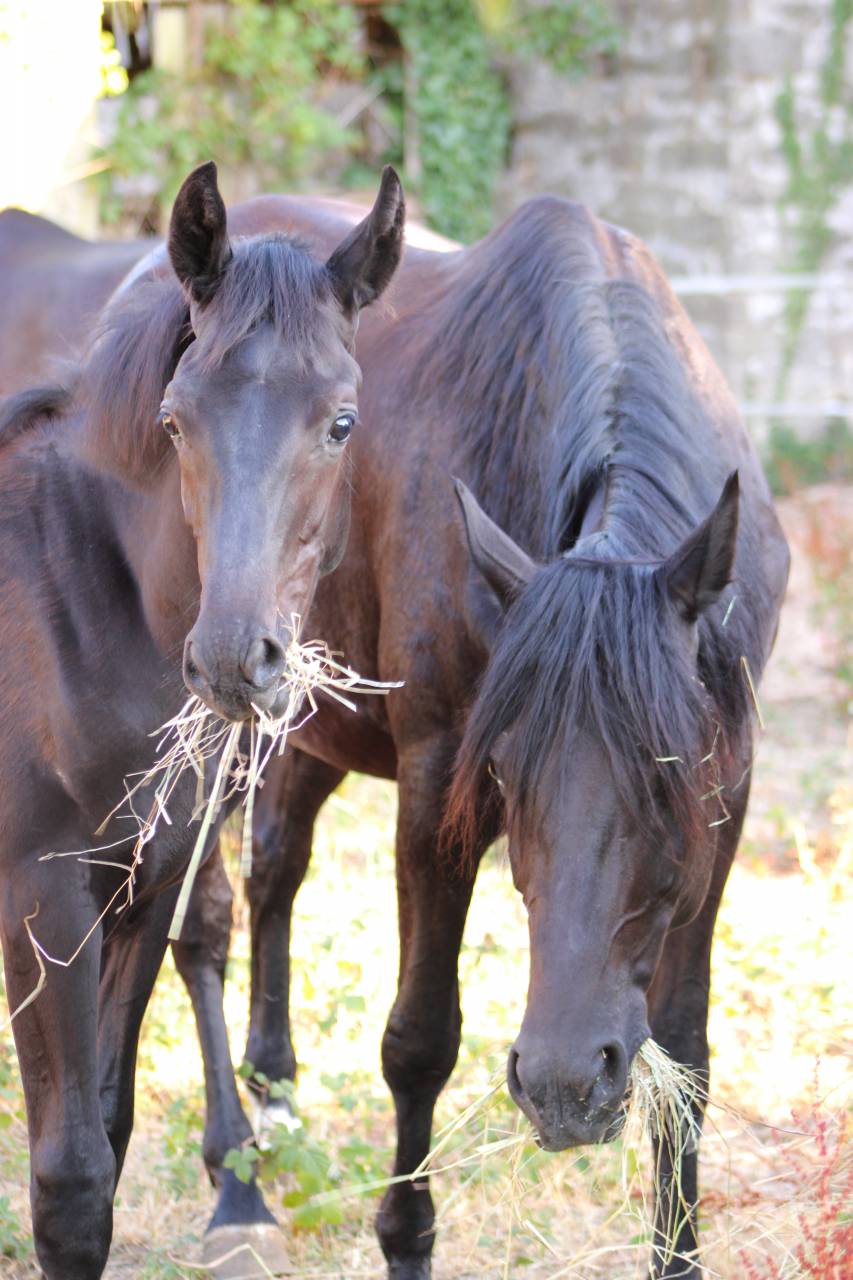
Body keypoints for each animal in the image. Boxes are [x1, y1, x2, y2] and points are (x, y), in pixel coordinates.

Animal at [0, 159, 405, 1279]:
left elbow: (109, 1126)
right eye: (176, 420)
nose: (233, 659)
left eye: (341, 422)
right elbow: (68, 1181)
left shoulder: (151, 876)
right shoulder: (41, 895)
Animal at [170, 196, 790, 1279]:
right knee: (205, 919)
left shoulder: (729, 804)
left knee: (276, 866)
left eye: (669, 775)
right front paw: (405, 1238)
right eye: (503, 773)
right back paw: (238, 1181)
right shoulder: (432, 787)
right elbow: (419, 1038)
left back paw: (277, 1098)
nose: (564, 1086)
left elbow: (686, 1055)